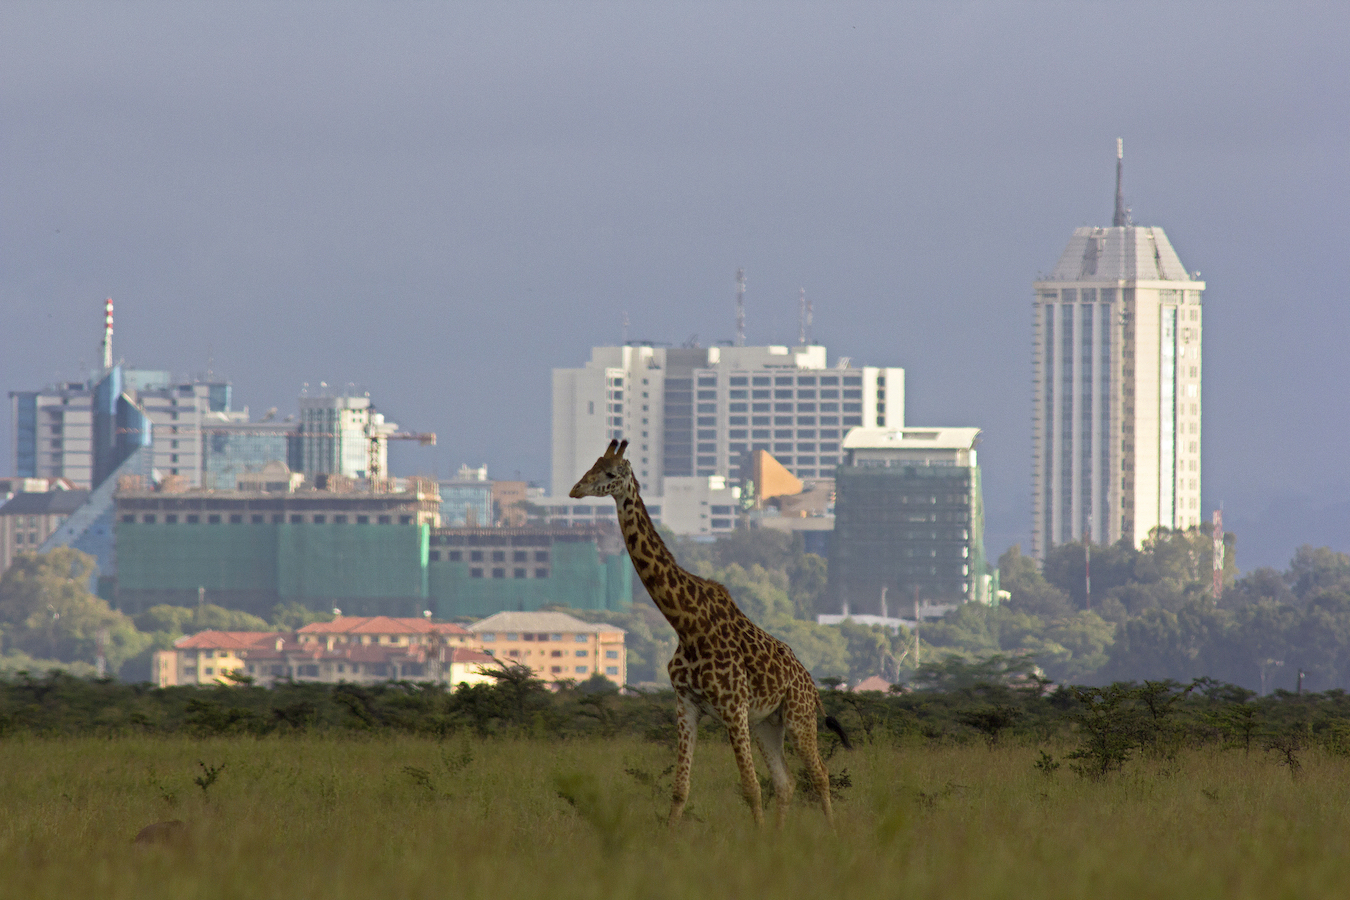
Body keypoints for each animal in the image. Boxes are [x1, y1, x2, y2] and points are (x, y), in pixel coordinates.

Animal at [572, 439, 853, 825]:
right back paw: (781, 835)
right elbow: (680, 788)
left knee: (819, 775)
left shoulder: (733, 708)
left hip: (799, 716)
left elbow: (750, 787)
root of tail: (810, 683)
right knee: (787, 782)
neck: (686, 625)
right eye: (591, 465)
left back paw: (832, 832)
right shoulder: (686, 704)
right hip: (768, 723)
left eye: (611, 473)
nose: (575, 490)